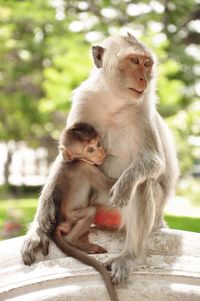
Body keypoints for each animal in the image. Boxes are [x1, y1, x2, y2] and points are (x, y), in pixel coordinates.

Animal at [49, 121, 119, 300]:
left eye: (98, 144)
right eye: (90, 150)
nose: (101, 153)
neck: (76, 160)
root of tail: (58, 223)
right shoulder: (88, 168)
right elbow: (109, 185)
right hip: (71, 220)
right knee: (90, 212)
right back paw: (75, 241)